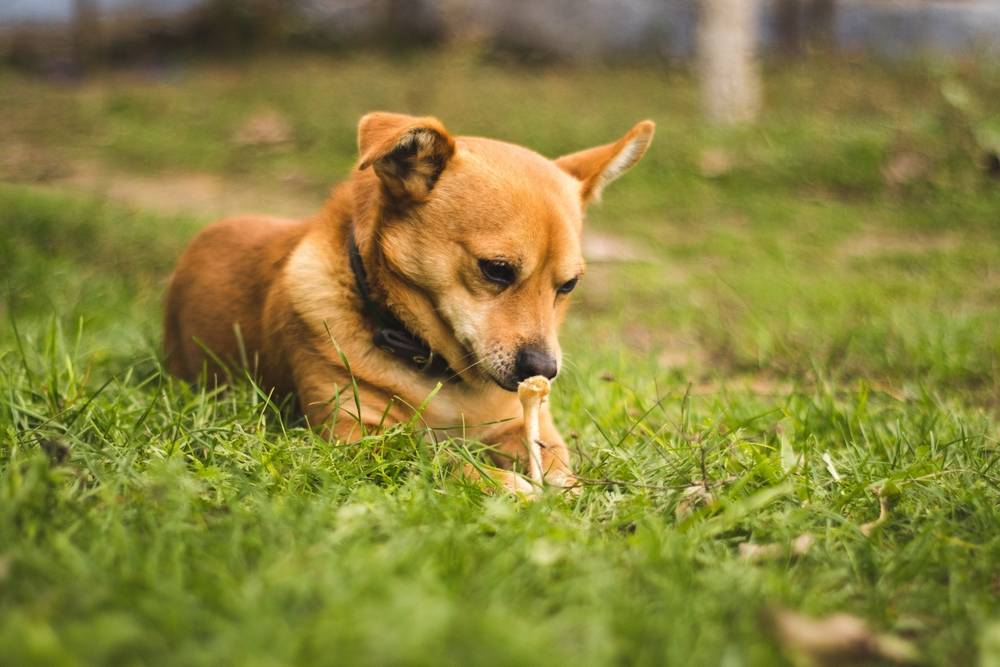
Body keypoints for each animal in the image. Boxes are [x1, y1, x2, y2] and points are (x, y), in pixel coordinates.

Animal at [164, 112, 656, 494]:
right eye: (496, 269)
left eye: (568, 286)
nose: (543, 371)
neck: (443, 371)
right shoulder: (355, 439)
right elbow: (437, 459)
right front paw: (503, 482)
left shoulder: (523, 425)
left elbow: (555, 460)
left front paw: (566, 486)